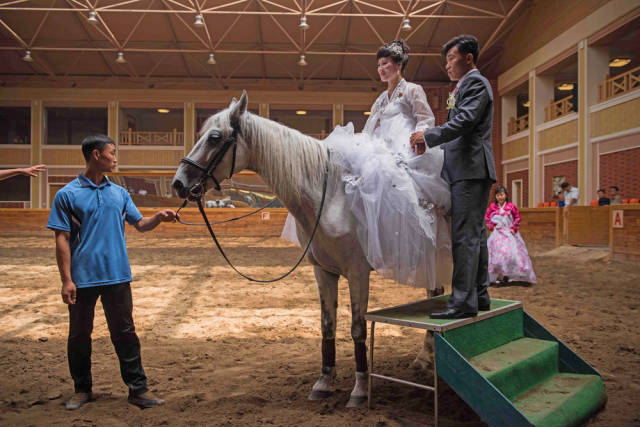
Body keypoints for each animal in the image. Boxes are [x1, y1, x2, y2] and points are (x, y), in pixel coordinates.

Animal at [172, 91, 438, 408]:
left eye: (214, 137)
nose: (179, 183)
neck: (333, 196)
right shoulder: (322, 271)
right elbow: (327, 325)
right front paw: (324, 383)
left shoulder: (358, 274)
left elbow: (358, 329)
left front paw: (360, 390)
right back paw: (425, 359)